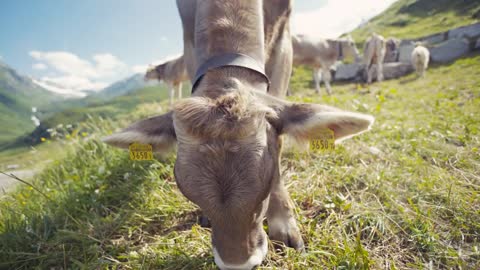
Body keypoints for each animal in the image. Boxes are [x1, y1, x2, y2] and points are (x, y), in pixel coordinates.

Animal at [104, 1, 376, 268]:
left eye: (266, 187)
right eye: (190, 194)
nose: (238, 264)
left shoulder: (283, 37)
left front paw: (284, 223)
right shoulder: (189, 40)